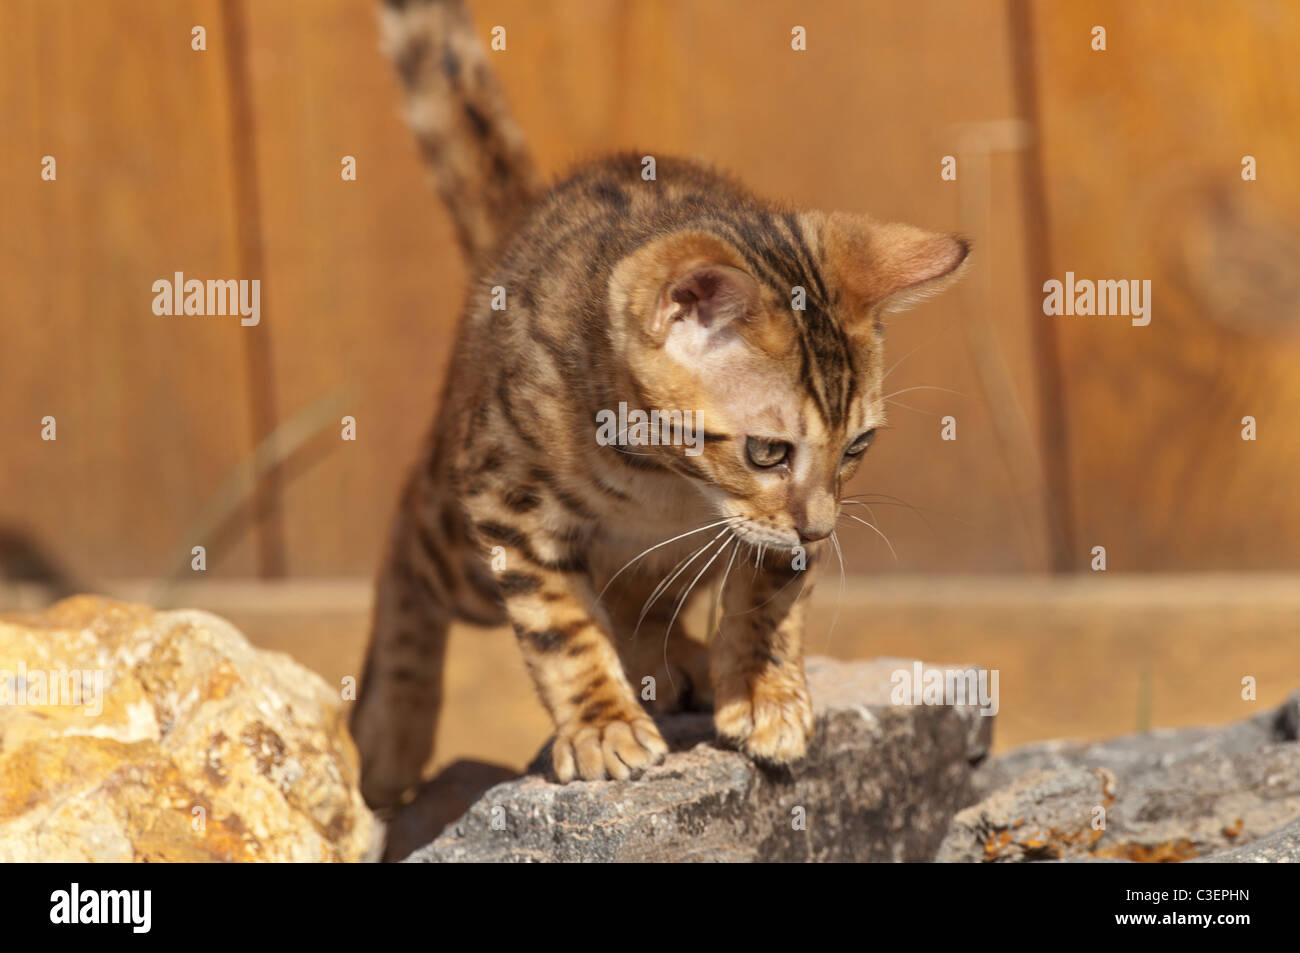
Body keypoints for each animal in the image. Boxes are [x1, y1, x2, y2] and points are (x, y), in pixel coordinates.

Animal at [351, 0, 972, 806]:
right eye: (767, 450)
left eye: (858, 447)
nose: (822, 532)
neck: (664, 482)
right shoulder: (507, 502)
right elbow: (559, 622)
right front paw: (602, 723)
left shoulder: (761, 534)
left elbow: (769, 594)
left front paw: (762, 690)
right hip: (459, 539)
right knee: (405, 543)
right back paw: (391, 733)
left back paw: (681, 662)